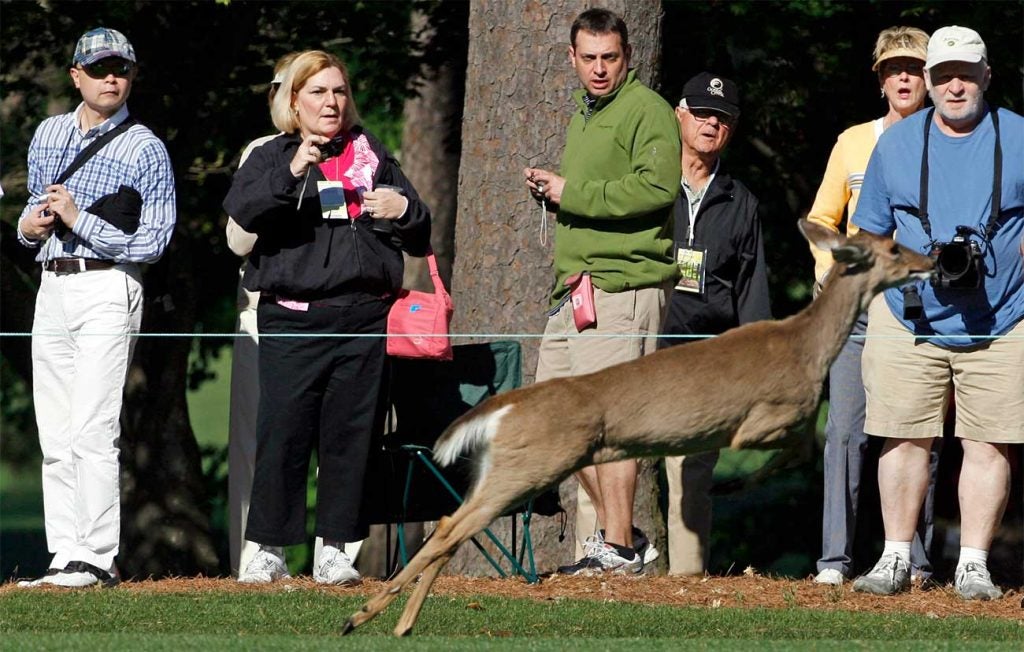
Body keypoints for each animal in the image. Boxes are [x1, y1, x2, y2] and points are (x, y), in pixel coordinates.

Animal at [344, 219, 937, 634]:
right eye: (891, 249)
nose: (929, 260)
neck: (807, 348)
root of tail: (507, 407)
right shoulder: (766, 417)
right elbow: (801, 448)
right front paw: (735, 485)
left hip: (506, 468)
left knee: (449, 523)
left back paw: (395, 624)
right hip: (533, 464)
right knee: (449, 527)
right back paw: (362, 616)